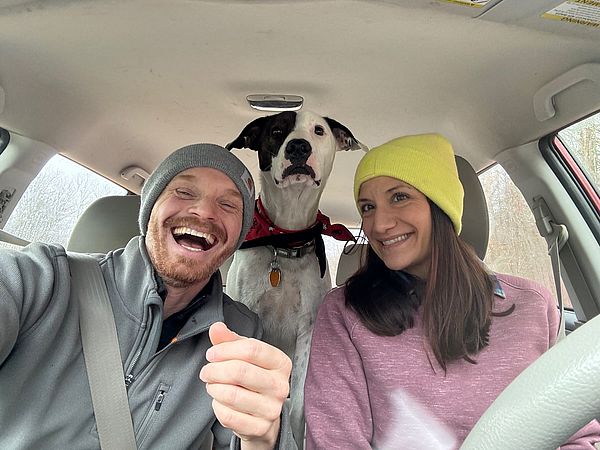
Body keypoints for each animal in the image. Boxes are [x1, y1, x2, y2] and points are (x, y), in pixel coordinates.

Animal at [225, 110, 366, 444]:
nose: (299, 147)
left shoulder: (307, 331)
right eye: (277, 131)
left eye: (319, 130)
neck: (284, 239)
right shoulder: (249, 320)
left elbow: (300, 406)